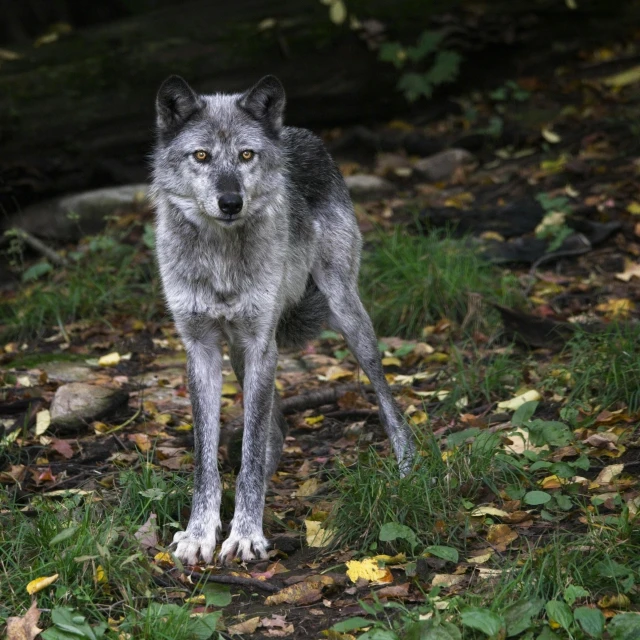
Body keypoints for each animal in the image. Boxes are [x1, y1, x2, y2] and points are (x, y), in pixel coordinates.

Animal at [152, 75, 418, 564]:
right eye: (201, 156)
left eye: (246, 155)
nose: (230, 202)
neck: (221, 258)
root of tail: (298, 132)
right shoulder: (201, 348)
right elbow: (206, 457)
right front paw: (200, 533)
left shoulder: (261, 345)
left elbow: (251, 449)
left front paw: (245, 535)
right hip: (242, 353)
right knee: (274, 431)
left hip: (346, 316)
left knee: (386, 399)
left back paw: (409, 466)